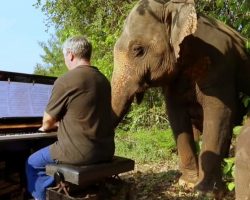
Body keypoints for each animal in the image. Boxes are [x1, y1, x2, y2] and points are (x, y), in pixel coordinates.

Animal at [111, 0, 250, 197]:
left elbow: (220, 111)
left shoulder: (218, 63)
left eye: (138, 50)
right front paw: (187, 184)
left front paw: (205, 193)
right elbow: (176, 115)